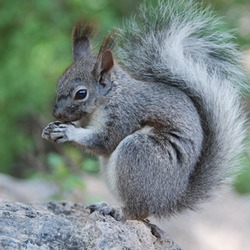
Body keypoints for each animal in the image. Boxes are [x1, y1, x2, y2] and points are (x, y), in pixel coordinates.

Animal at [41, 0, 246, 220]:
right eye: (59, 82)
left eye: (81, 93)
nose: (56, 114)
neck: (110, 97)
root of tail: (169, 200)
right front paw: (50, 128)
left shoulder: (125, 114)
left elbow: (105, 141)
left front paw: (68, 131)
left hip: (138, 152)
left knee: (138, 210)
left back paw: (114, 209)